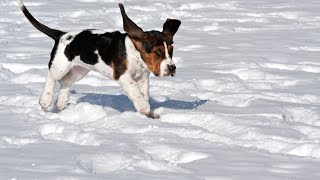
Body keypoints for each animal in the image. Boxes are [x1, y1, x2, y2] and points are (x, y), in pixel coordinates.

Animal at [17, 0, 181, 119]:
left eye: (171, 50)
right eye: (158, 52)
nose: (172, 68)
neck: (135, 54)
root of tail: (61, 34)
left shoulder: (142, 78)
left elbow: (143, 93)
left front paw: (147, 112)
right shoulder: (123, 75)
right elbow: (135, 91)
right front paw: (144, 107)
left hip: (79, 70)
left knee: (65, 82)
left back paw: (61, 102)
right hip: (60, 66)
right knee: (51, 76)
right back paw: (45, 100)